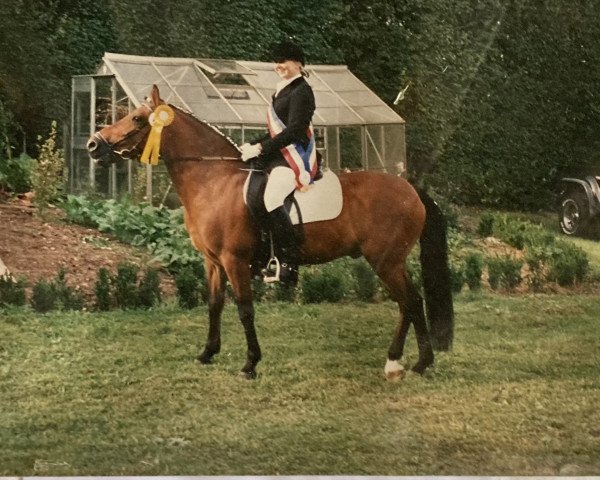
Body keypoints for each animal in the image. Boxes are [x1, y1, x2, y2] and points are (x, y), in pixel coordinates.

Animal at [86, 84, 452, 380]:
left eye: (137, 119)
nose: (93, 145)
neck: (214, 180)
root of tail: (411, 189)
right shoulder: (213, 263)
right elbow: (214, 305)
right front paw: (207, 353)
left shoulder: (234, 261)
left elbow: (245, 309)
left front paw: (250, 365)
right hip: (391, 262)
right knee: (407, 304)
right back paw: (400, 362)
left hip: (386, 261)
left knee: (411, 302)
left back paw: (416, 363)